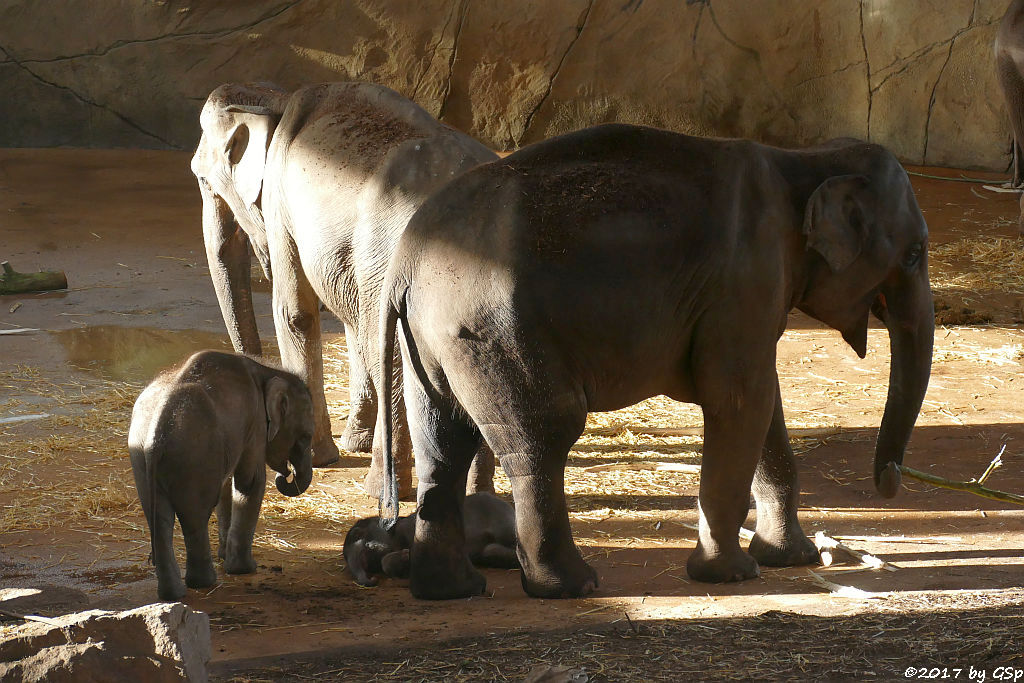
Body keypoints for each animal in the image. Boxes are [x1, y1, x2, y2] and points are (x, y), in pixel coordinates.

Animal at [128, 352, 313, 598]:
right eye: (305, 437)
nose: (286, 474)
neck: (266, 371)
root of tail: (155, 434)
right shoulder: (255, 423)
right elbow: (249, 483)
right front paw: (244, 569)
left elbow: (227, 485)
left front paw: (225, 557)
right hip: (194, 454)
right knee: (195, 516)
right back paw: (203, 583)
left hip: (142, 457)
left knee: (158, 519)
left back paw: (173, 594)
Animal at [192, 81, 499, 497]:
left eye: (201, 178)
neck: (274, 98)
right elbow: (348, 320)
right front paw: (355, 441)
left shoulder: (281, 204)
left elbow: (294, 314)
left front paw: (314, 458)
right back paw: (478, 491)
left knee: (389, 350)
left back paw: (382, 488)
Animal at [378, 125, 937, 602]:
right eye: (913, 254)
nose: (889, 480)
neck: (804, 159)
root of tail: (405, 263)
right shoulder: (746, 278)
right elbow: (740, 400)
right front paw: (733, 575)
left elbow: (763, 402)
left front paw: (790, 558)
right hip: (494, 330)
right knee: (542, 438)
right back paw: (572, 586)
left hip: (431, 338)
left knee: (442, 442)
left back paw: (451, 590)